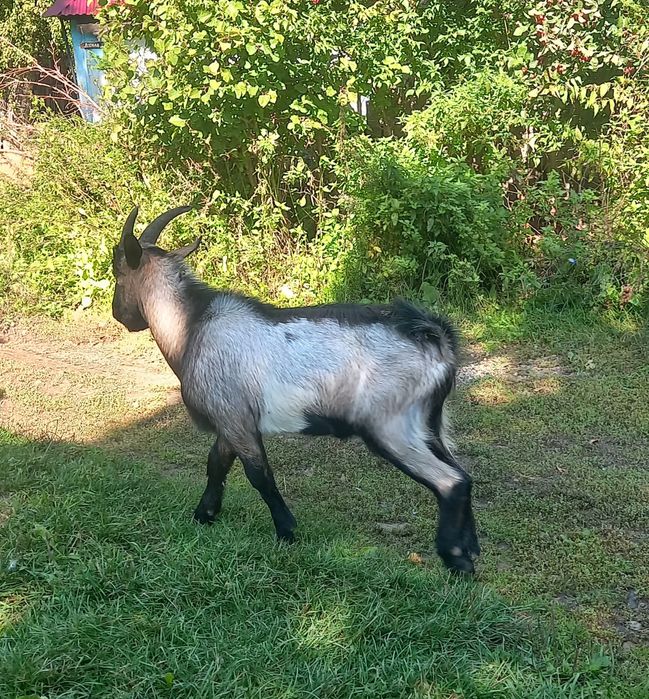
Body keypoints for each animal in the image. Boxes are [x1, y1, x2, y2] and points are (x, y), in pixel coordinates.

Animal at [111, 207, 480, 573]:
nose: (120, 315)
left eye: (117, 271)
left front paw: (286, 530)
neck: (193, 326)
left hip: (391, 426)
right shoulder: (231, 419)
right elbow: (216, 464)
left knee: (450, 481)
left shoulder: (233, 417)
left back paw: (456, 559)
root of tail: (435, 338)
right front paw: (205, 515)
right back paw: (472, 549)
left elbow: (258, 475)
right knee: (463, 473)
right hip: (428, 424)